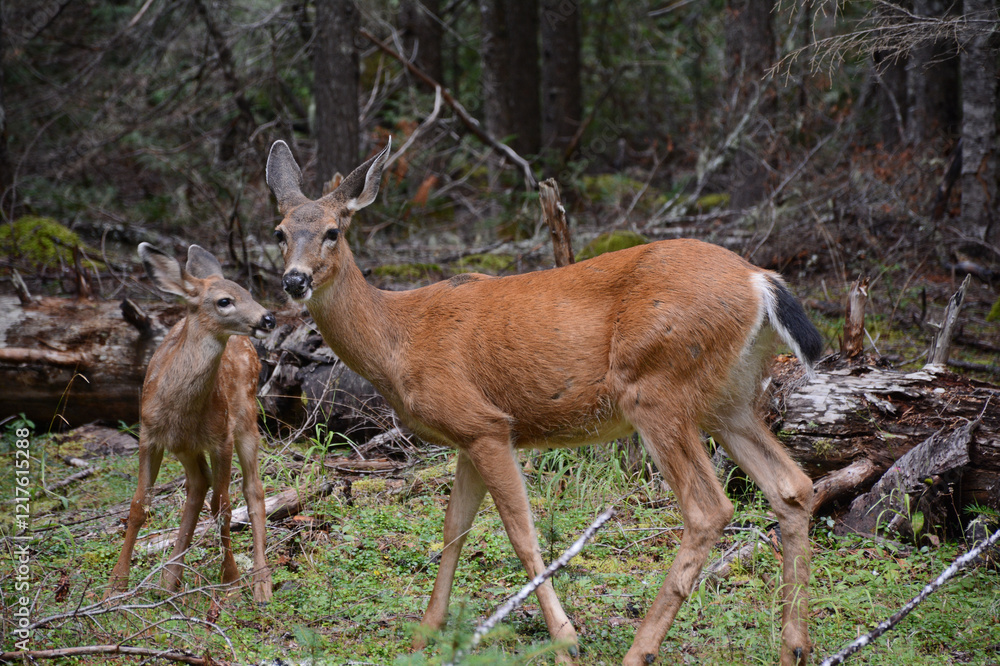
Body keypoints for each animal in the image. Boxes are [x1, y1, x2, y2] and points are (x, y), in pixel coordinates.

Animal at [107, 243, 276, 604]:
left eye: (249, 292)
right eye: (225, 300)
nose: (268, 317)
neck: (180, 410)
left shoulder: (221, 437)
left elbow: (224, 506)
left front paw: (231, 579)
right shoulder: (149, 435)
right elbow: (138, 505)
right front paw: (116, 583)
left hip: (246, 417)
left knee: (252, 490)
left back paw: (261, 583)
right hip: (186, 448)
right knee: (198, 485)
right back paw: (170, 577)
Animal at [265, 138, 823, 665]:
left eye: (333, 231)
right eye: (280, 232)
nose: (295, 280)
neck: (398, 339)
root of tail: (760, 281)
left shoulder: (485, 422)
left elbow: (521, 533)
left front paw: (566, 640)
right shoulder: (469, 435)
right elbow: (454, 528)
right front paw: (426, 633)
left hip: (657, 387)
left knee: (709, 509)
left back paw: (639, 650)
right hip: (728, 398)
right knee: (793, 487)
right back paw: (793, 648)